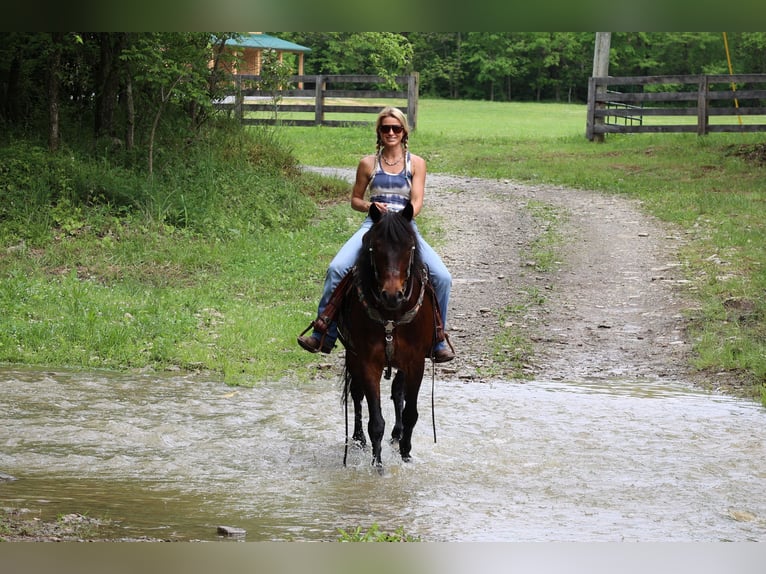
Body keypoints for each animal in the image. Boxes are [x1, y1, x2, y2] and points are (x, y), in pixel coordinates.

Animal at [336, 202, 438, 468]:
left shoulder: (415, 362)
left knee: (397, 392)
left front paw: (405, 453)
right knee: (357, 393)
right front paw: (377, 465)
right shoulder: (368, 361)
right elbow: (376, 420)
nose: (392, 295)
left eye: (409, 247)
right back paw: (358, 439)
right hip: (352, 355)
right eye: (375, 247)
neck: (392, 314)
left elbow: (410, 412)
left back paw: (397, 435)